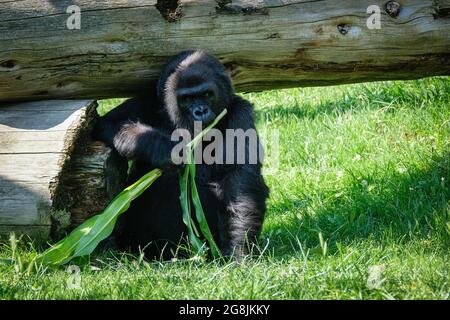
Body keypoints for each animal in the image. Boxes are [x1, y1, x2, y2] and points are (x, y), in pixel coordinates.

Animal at [95, 50, 268, 260]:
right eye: (186, 99)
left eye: (207, 94)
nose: (200, 111)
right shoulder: (147, 101)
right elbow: (106, 124)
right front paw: (162, 148)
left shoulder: (240, 113)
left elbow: (240, 180)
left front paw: (240, 249)